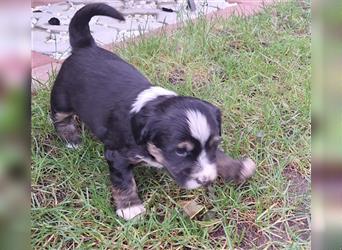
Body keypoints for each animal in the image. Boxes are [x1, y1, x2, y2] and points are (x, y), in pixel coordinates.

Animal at [50, 2, 222, 220]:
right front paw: (130, 208)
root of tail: (85, 46)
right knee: (60, 118)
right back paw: (71, 140)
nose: (207, 180)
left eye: (215, 145)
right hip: (61, 98)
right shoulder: (116, 156)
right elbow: (124, 182)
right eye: (180, 151)